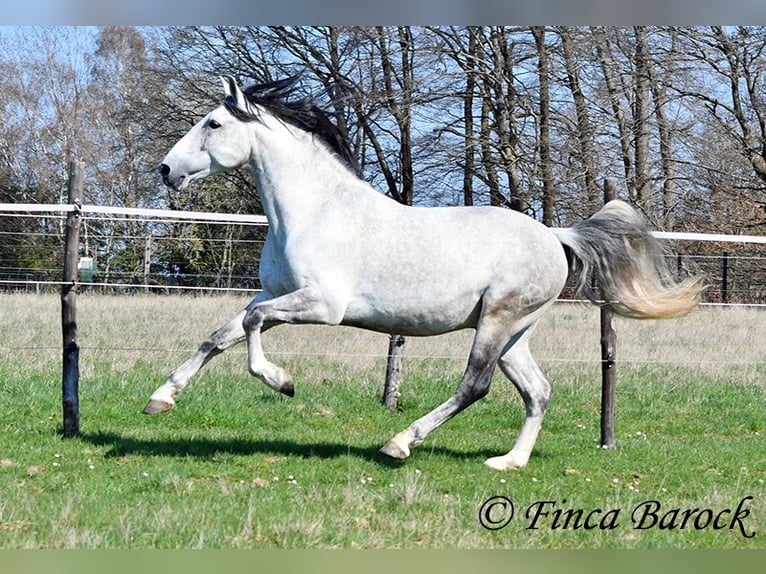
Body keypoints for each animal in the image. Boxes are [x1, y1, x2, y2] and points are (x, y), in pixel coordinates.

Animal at [145, 74, 704, 471]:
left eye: (214, 124)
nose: (166, 170)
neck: (314, 210)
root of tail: (556, 237)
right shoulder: (274, 293)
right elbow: (221, 335)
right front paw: (160, 399)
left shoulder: (322, 306)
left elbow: (252, 326)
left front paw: (282, 382)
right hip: (515, 333)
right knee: (537, 391)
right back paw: (508, 462)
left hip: (497, 321)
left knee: (475, 386)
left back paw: (399, 443)